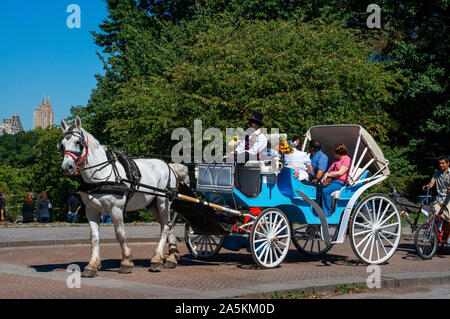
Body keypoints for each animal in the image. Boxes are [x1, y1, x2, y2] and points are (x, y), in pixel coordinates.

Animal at [59, 117, 186, 278]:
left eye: (77, 142)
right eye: (62, 145)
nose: (66, 167)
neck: (101, 174)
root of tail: (169, 166)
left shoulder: (116, 210)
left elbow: (120, 235)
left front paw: (126, 261)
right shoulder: (91, 210)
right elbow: (94, 238)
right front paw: (92, 264)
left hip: (163, 202)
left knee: (165, 227)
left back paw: (157, 259)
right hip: (153, 205)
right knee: (167, 225)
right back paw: (171, 257)